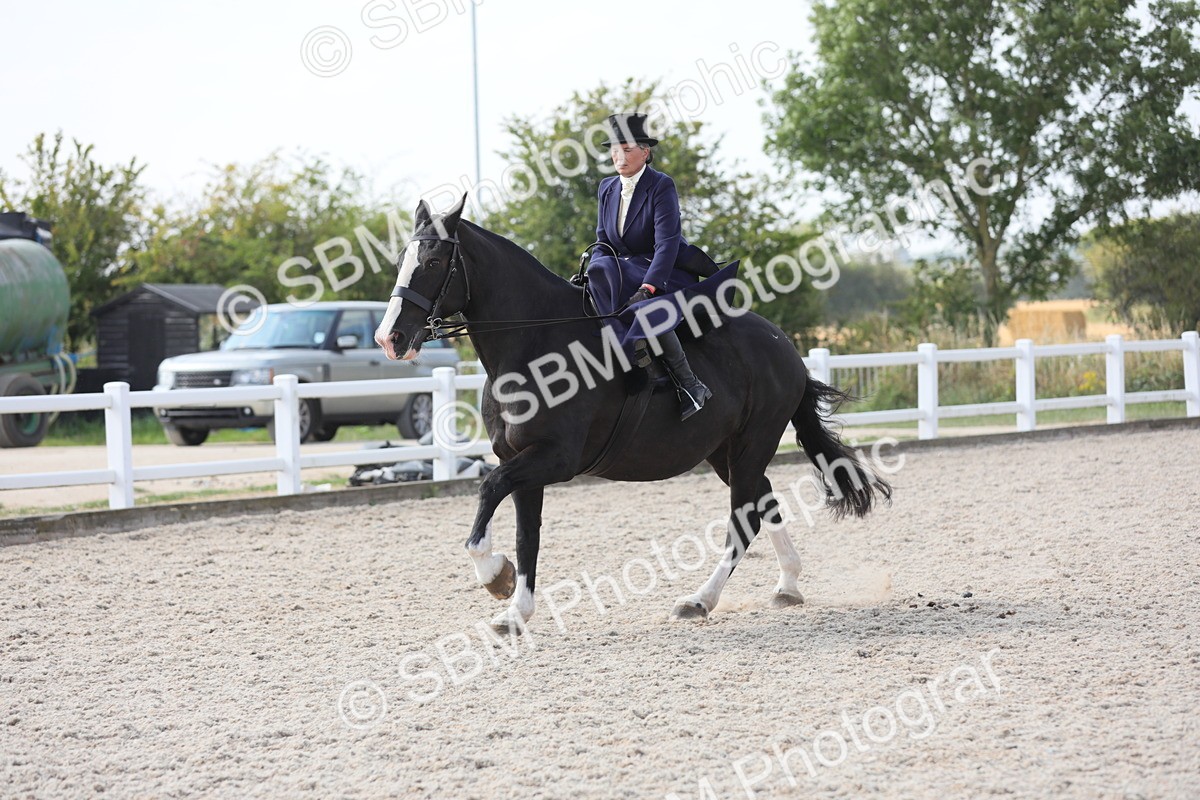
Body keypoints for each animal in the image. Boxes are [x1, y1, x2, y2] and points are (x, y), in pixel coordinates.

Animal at [374, 195, 891, 632]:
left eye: (434, 262)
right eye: (402, 261)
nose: (390, 338)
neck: (536, 344)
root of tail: (784, 346)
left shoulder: (554, 459)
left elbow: (488, 494)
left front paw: (494, 576)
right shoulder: (520, 461)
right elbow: (526, 537)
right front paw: (515, 611)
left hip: (751, 445)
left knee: (745, 519)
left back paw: (699, 600)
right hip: (725, 452)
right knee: (764, 501)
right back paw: (788, 586)